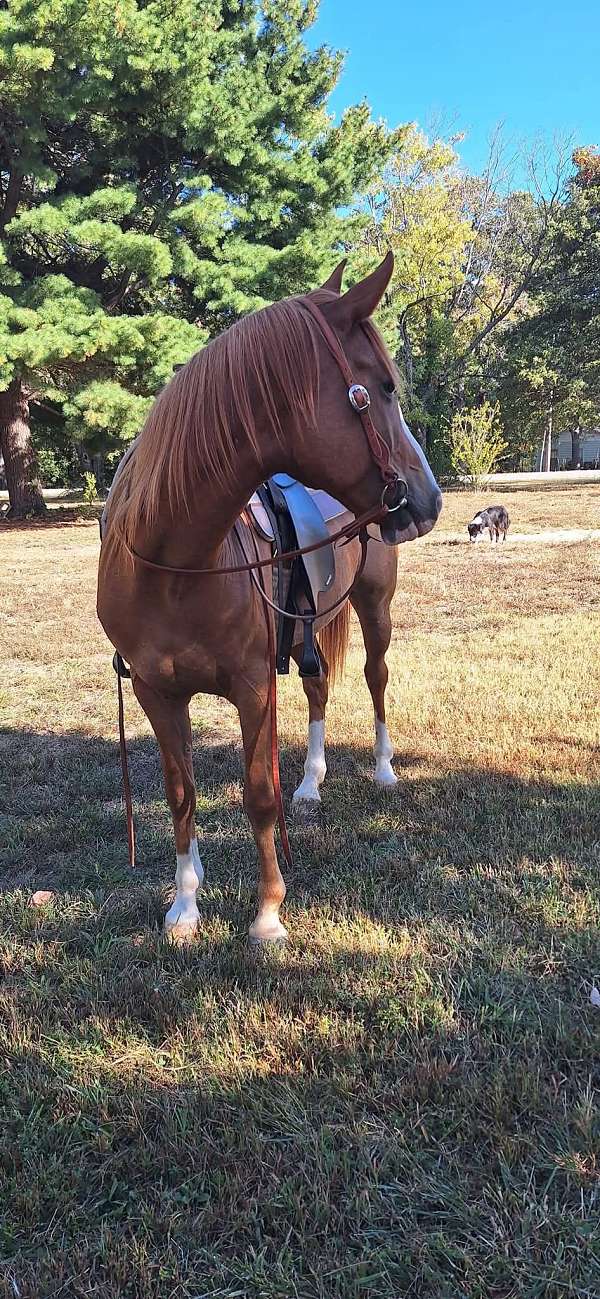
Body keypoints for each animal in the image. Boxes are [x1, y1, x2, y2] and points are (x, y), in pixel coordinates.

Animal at [96, 253, 438, 945]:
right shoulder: (155, 692)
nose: (430, 498)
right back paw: (310, 783)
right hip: (307, 624)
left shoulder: (253, 687)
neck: (174, 564)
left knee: (376, 676)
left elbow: (256, 795)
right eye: (384, 388)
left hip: (375, 607)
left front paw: (267, 913)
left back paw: (384, 769)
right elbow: (181, 792)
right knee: (318, 686)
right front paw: (184, 905)